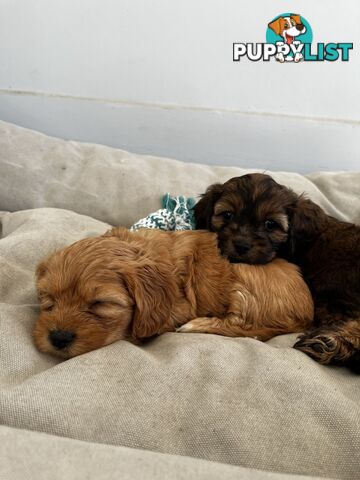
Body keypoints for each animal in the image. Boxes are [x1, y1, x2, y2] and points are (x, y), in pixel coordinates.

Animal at [32, 227, 312, 358]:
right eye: (49, 300)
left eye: (101, 304)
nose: (58, 338)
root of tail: (307, 313)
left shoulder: (179, 307)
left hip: (241, 280)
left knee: (242, 326)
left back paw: (198, 325)